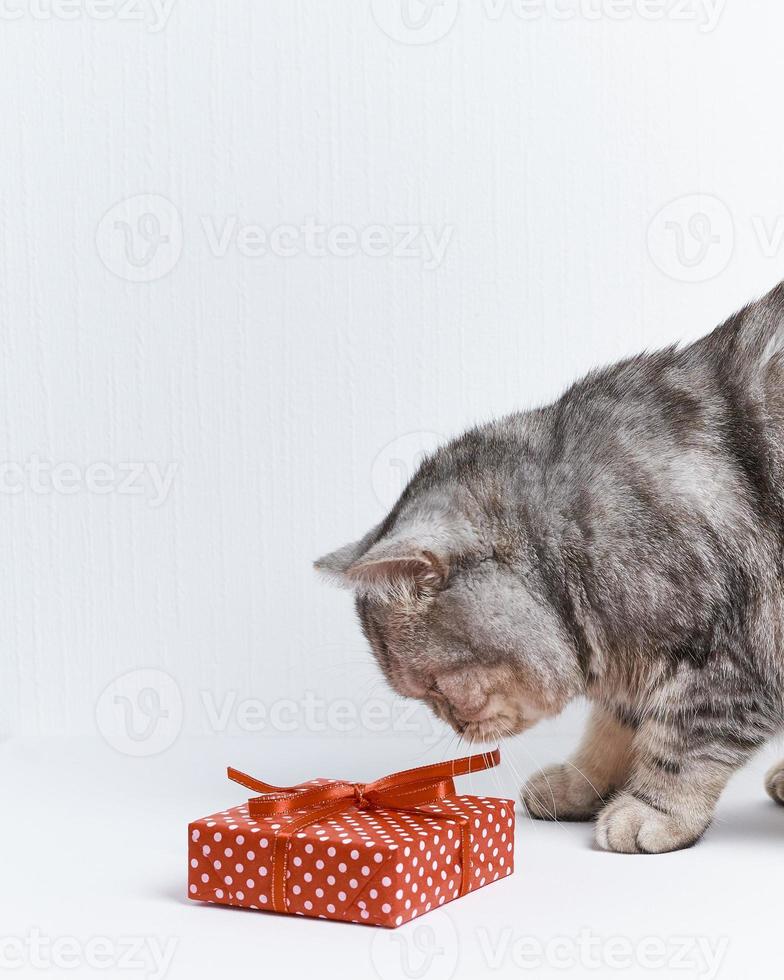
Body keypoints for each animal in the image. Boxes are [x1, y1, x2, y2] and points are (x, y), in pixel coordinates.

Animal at [316, 282, 784, 848]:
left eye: (432, 688)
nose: (457, 727)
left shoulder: (728, 656)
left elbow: (680, 745)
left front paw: (650, 810)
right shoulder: (635, 657)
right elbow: (614, 730)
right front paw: (582, 783)